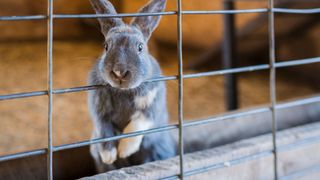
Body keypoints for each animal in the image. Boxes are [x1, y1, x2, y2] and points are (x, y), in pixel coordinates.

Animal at [87, 0, 176, 173]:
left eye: (140, 47)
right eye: (106, 46)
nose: (119, 72)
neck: (124, 91)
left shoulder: (152, 105)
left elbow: (138, 124)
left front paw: (124, 150)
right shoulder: (99, 111)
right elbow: (104, 129)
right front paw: (109, 155)